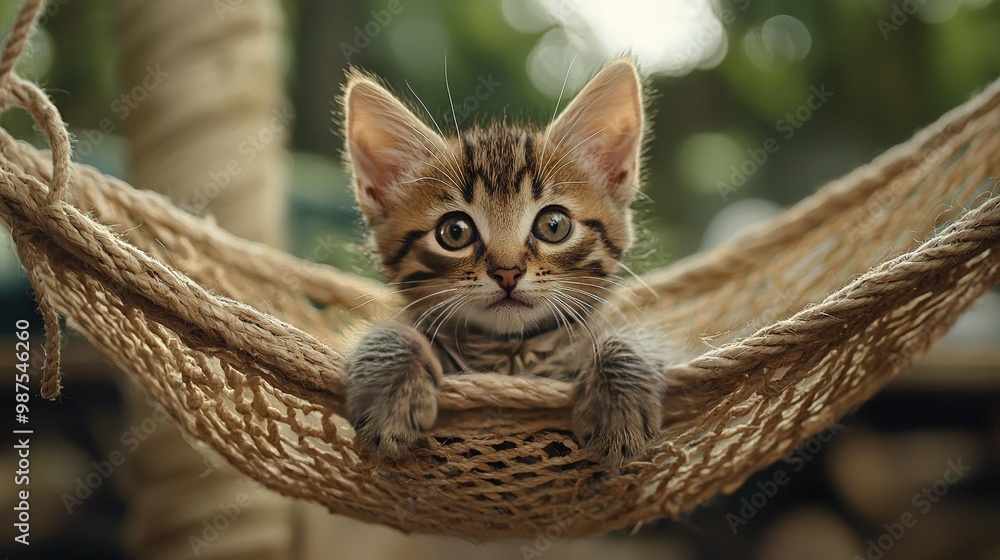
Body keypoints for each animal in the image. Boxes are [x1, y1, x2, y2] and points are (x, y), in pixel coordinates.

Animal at [340, 58, 668, 468]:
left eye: (553, 225)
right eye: (455, 232)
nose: (508, 272)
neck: (509, 357)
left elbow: (629, 337)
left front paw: (621, 404)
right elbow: (389, 332)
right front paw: (388, 389)